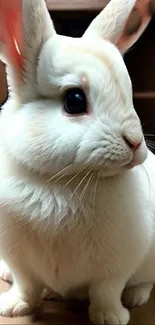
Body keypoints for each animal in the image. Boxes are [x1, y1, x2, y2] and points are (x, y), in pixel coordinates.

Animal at [0, 0, 154, 322]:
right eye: (74, 100)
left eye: (129, 92)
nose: (135, 143)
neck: (62, 183)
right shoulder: (19, 261)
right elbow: (26, 285)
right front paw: (14, 307)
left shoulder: (117, 265)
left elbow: (106, 291)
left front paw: (110, 317)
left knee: (144, 281)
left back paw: (135, 298)